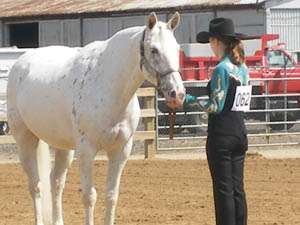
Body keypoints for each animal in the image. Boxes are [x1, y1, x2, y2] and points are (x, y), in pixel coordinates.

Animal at [6, 11, 185, 225]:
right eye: (154, 50)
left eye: (177, 48)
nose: (177, 94)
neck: (107, 85)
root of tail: (20, 64)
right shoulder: (87, 150)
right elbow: (89, 196)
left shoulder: (120, 150)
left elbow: (111, 195)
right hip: (25, 141)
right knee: (36, 185)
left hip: (63, 147)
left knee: (56, 182)